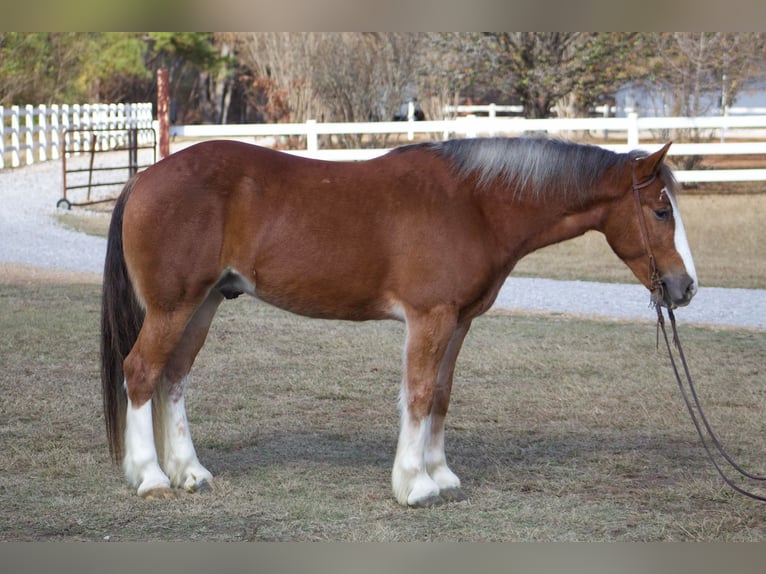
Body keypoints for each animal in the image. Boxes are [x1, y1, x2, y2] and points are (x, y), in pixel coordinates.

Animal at [99, 137, 700, 506]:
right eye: (660, 210)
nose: (685, 287)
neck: (475, 204)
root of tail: (144, 178)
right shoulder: (429, 318)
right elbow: (417, 393)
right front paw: (415, 484)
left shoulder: (458, 322)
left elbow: (441, 394)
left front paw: (441, 475)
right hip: (174, 308)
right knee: (142, 373)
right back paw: (150, 477)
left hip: (203, 305)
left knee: (173, 379)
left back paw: (189, 472)